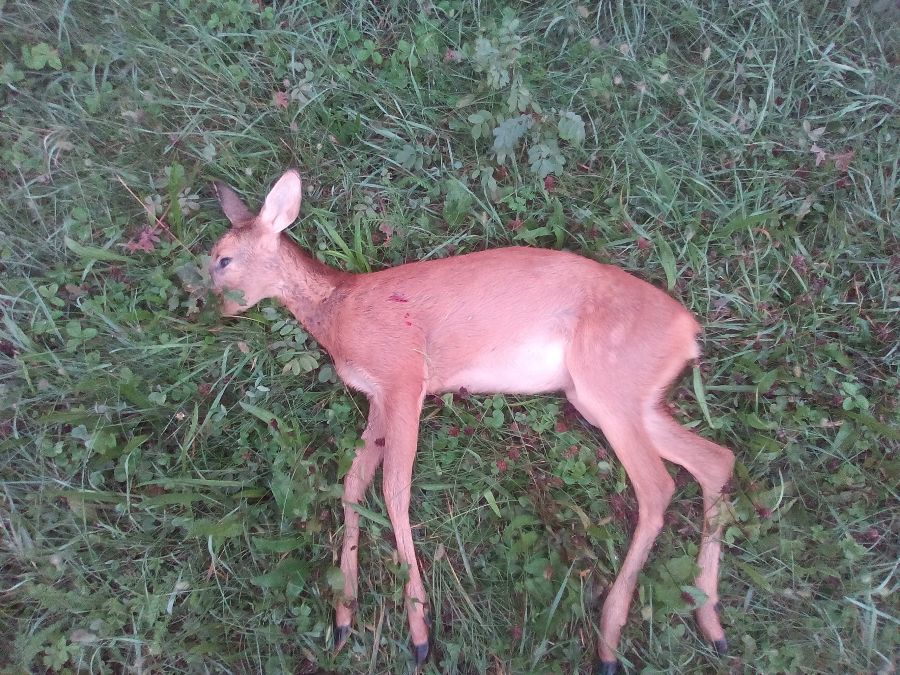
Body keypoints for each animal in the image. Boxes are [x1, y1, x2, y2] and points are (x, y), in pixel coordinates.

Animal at [206, 170, 735, 673]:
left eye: (223, 259)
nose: (218, 307)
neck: (339, 311)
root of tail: (688, 331)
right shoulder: (378, 397)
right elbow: (353, 484)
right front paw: (342, 619)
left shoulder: (403, 376)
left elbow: (394, 488)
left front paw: (419, 633)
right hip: (618, 397)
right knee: (716, 459)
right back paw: (710, 621)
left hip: (608, 383)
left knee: (658, 486)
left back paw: (609, 641)